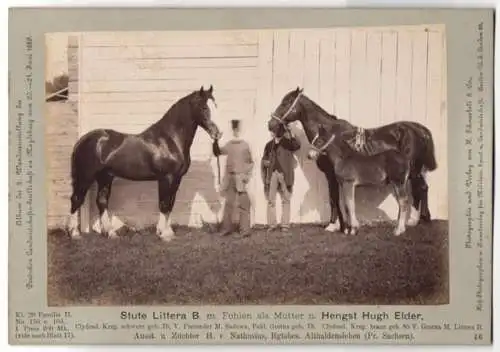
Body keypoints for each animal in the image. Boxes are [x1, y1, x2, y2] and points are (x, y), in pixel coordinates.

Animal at [67, 85, 222, 241]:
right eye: (204, 107)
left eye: (216, 105)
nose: (218, 133)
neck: (170, 139)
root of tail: (83, 139)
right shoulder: (166, 178)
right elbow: (164, 204)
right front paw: (164, 234)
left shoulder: (177, 178)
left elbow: (170, 204)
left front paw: (167, 231)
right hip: (85, 177)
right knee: (76, 199)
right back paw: (74, 233)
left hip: (105, 177)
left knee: (102, 201)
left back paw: (110, 233)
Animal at [266, 86, 438, 232]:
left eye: (286, 103)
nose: (271, 124)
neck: (332, 135)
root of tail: (420, 130)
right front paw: (343, 225)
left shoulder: (331, 175)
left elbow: (334, 198)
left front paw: (333, 225)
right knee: (421, 189)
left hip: (414, 170)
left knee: (420, 189)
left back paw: (412, 220)